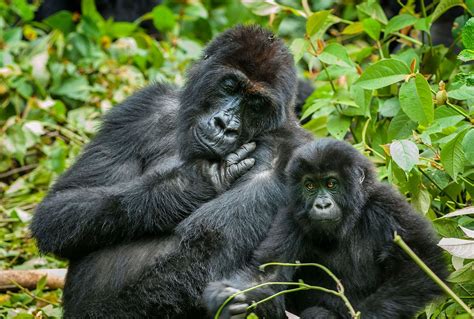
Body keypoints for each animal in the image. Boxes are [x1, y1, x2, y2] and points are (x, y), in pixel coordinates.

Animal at [30, 26, 312, 318]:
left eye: (256, 104)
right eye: (229, 86)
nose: (225, 125)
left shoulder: (289, 154)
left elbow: (208, 254)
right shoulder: (141, 107)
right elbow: (57, 208)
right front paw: (187, 186)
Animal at [205, 139, 448, 319]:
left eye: (331, 183)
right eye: (310, 185)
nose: (321, 205)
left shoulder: (387, 205)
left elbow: (422, 263)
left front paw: (365, 315)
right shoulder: (291, 217)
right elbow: (267, 274)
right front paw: (223, 296)